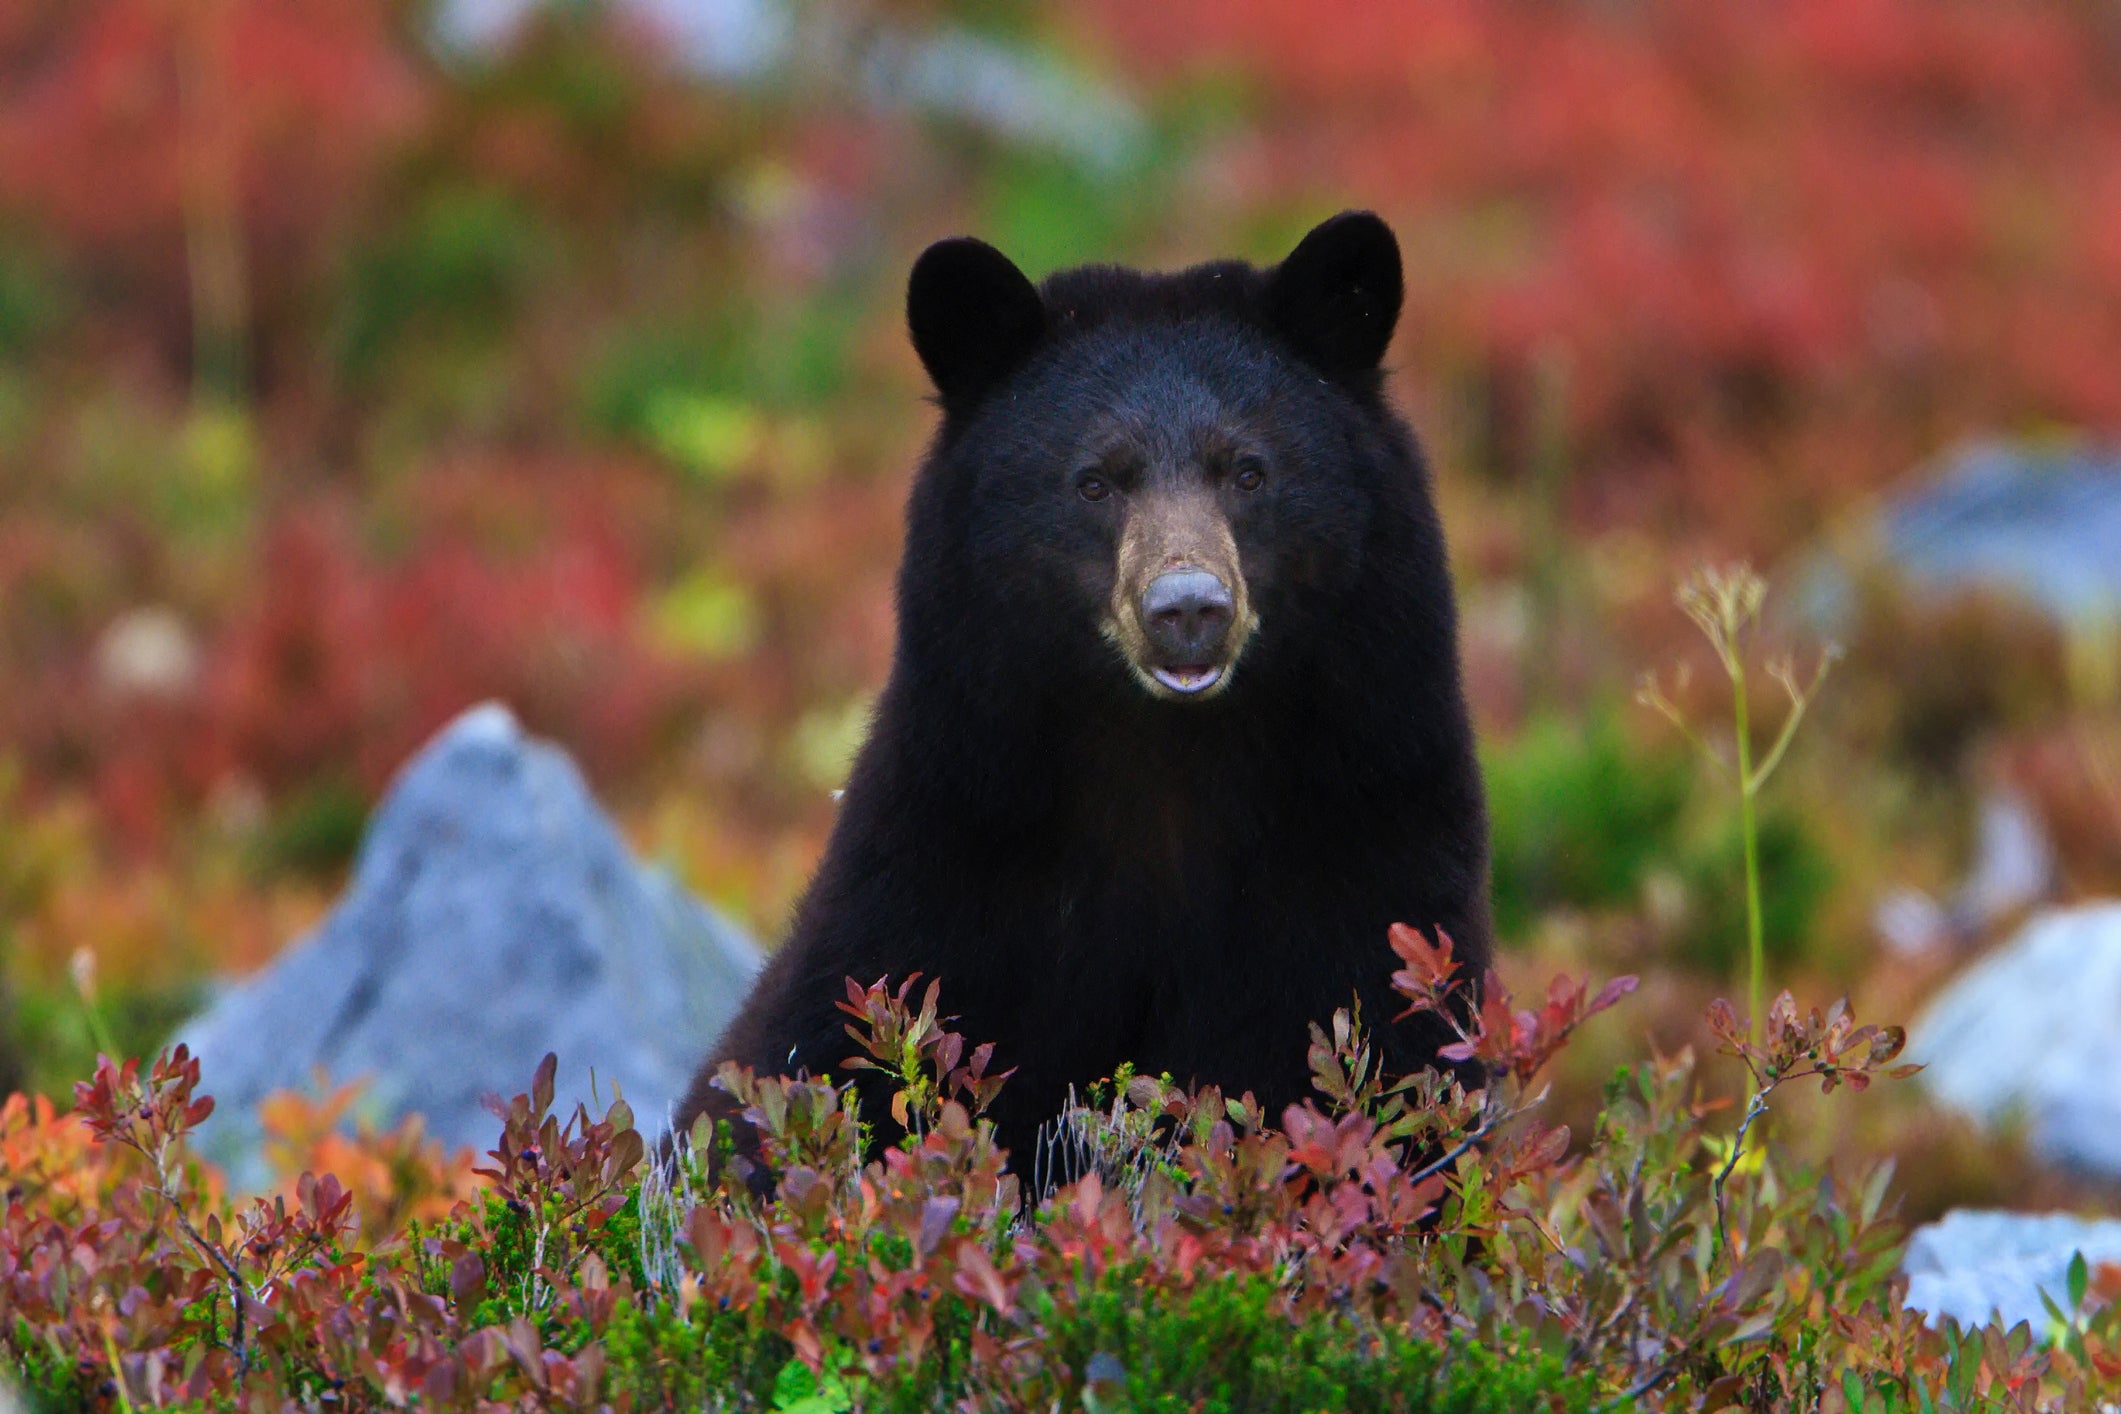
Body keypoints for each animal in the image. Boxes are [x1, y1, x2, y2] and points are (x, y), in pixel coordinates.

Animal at [678, 209, 1493, 1170]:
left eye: (1248, 471)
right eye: (1095, 480)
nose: (1188, 609)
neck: (1172, 766)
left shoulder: (1370, 847)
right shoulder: (947, 865)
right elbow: (823, 1073)